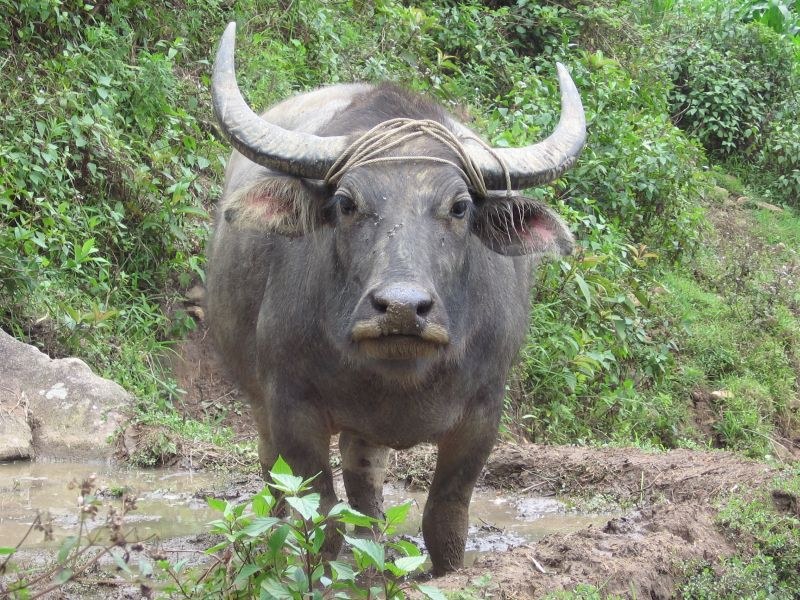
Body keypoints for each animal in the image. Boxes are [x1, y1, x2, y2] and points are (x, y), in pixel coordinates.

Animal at [206, 22, 585, 574]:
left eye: (459, 206)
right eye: (347, 203)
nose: (403, 308)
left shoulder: (483, 412)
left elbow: (445, 520)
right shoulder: (289, 405)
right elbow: (320, 520)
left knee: (364, 479)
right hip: (257, 399)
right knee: (274, 472)